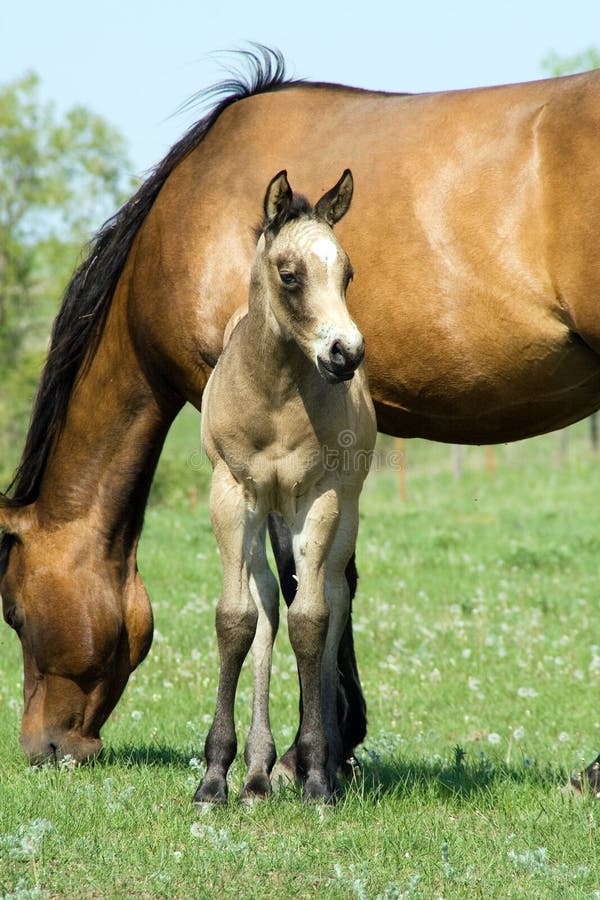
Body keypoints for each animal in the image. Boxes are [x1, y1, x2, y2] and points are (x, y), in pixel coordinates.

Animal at [196, 171, 376, 800]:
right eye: (290, 274)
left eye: (347, 273)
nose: (346, 354)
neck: (273, 396)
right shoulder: (230, 494)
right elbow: (236, 618)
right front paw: (214, 777)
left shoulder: (318, 498)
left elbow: (312, 621)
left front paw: (318, 773)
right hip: (262, 518)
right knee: (269, 601)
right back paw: (256, 770)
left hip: (339, 514)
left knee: (331, 600)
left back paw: (317, 760)